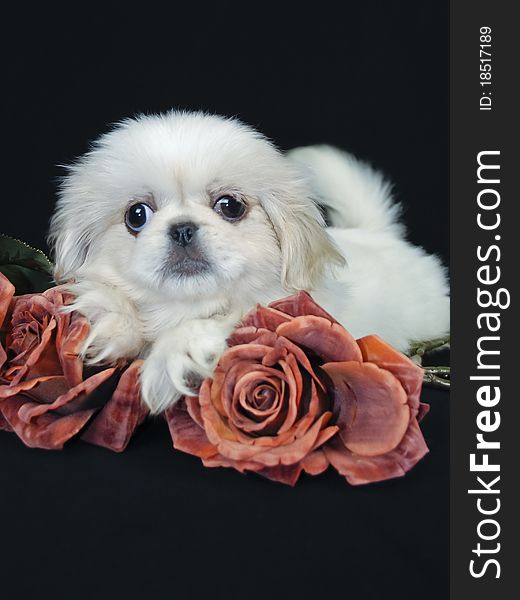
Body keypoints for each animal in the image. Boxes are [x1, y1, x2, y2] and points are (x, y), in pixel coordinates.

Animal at [48, 110, 448, 412]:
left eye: (230, 206)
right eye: (136, 215)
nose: (182, 228)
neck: (185, 306)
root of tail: (379, 233)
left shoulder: (296, 318)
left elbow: (229, 319)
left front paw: (174, 356)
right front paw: (112, 318)